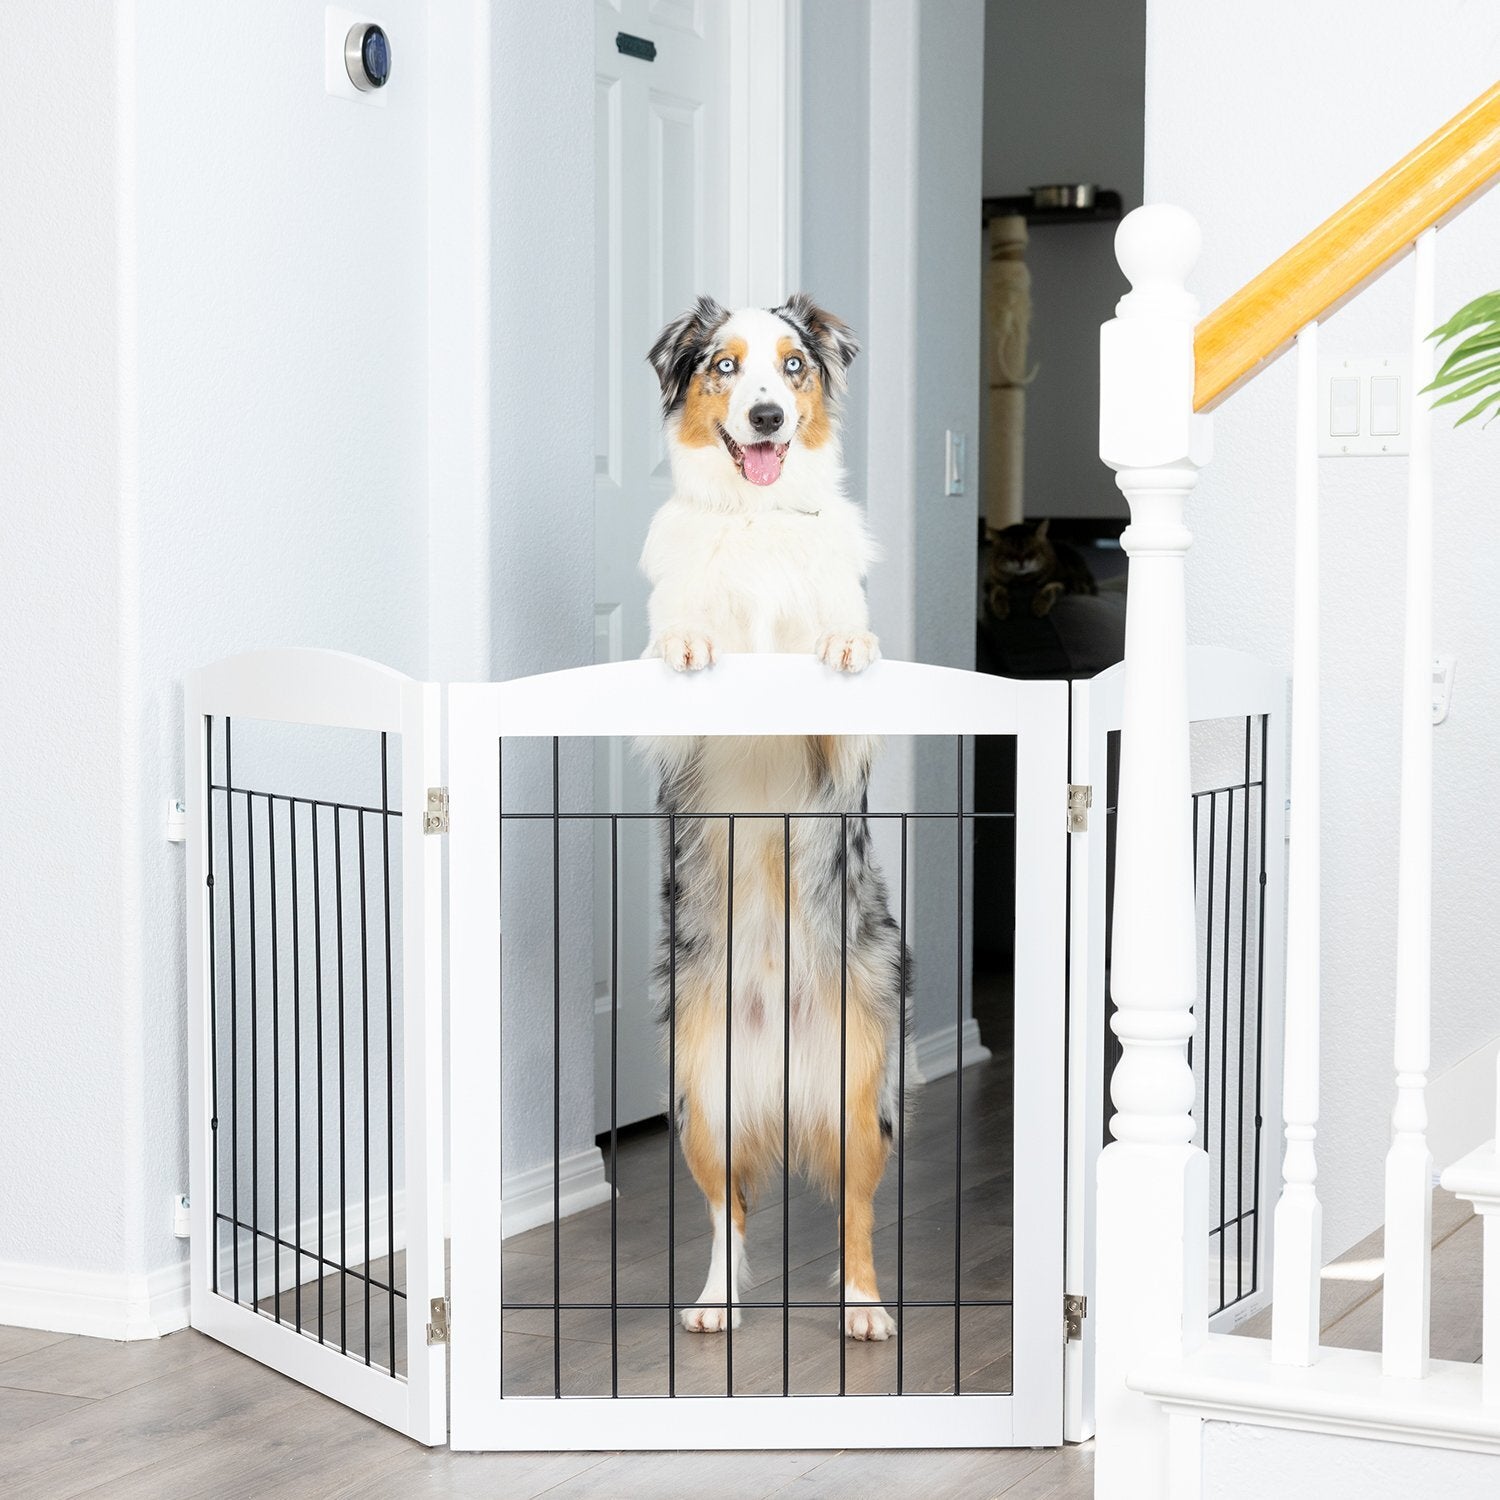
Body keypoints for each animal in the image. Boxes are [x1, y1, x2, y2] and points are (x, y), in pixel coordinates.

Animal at [639, 295, 906, 1350]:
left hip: (861, 1089)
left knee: (859, 1214)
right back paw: (714, 1303)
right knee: (731, 1213)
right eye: (724, 364)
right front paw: (687, 642)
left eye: (794, 366)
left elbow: (836, 658)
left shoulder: (836, 746)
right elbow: (679, 650)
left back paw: (865, 1310)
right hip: (702, 1096)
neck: (755, 523)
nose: (765, 418)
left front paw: (848, 643)